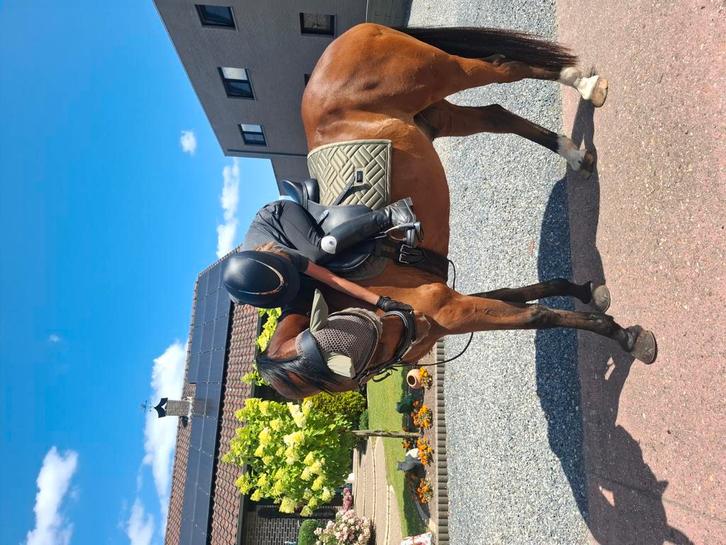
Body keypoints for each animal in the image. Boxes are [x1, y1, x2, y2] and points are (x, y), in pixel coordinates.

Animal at [263, 23, 656, 398]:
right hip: (435, 116)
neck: (361, 294)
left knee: (503, 67)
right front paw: (589, 292)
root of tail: (345, 38)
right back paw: (574, 152)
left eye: (346, 350)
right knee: (496, 115)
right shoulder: (452, 304)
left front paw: (628, 338)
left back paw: (585, 85)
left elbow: (538, 314)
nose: (414, 331)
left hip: (443, 73)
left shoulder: (454, 310)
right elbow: (522, 293)